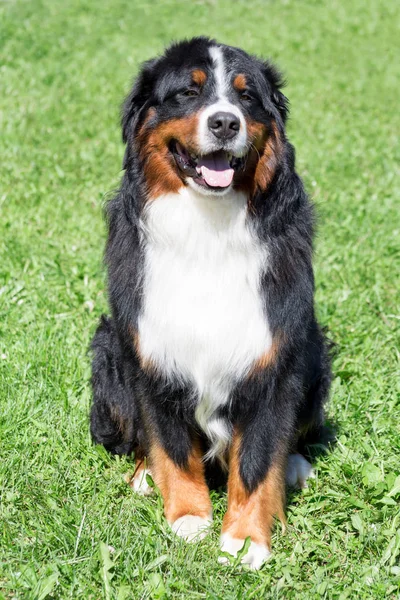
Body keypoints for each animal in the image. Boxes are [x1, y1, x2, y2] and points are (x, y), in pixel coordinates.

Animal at [90, 35, 332, 568]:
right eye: (187, 92)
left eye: (246, 96)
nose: (225, 122)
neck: (208, 228)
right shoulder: (152, 353)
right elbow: (171, 445)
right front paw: (188, 518)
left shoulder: (272, 358)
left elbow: (258, 458)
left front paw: (245, 540)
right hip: (108, 349)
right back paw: (145, 474)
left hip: (315, 351)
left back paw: (296, 465)